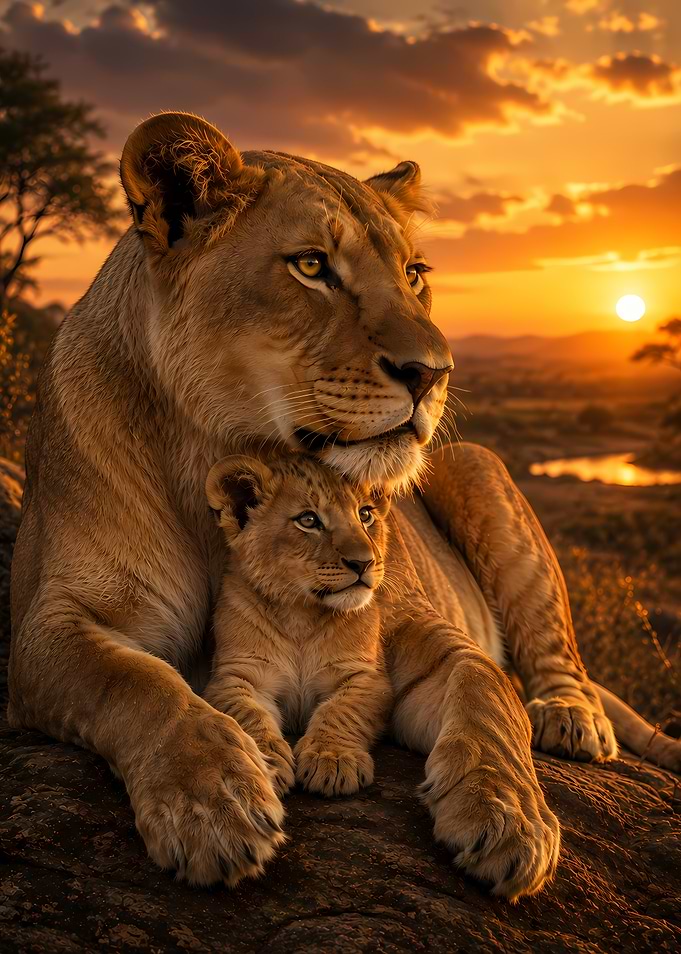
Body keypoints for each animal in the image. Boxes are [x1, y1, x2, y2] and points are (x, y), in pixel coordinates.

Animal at [204, 453, 392, 805]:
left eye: (365, 514)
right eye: (308, 520)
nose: (364, 563)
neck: (301, 614)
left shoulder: (366, 676)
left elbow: (341, 710)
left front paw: (333, 760)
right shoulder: (237, 676)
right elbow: (248, 716)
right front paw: (261, 764)